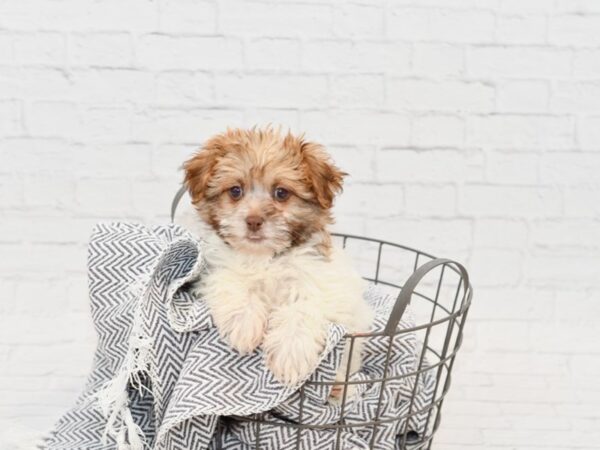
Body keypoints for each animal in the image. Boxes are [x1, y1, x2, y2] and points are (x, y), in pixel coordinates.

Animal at [180, 126, 372, 390]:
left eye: (281, 193)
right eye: (235, 191)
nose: (253, 221)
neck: (266, 257)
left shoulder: (319, 281)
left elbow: (303, 307)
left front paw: (290, 354)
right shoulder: (216, 268)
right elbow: (232, 281)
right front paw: (244, 324)